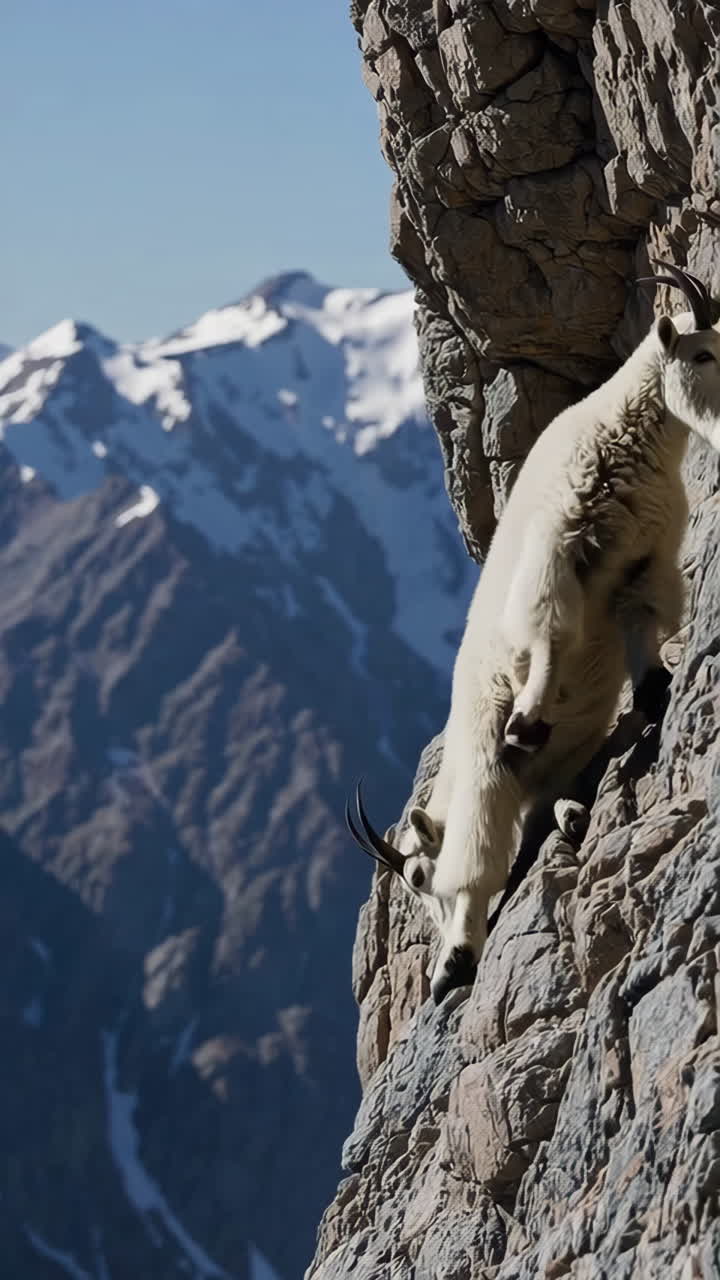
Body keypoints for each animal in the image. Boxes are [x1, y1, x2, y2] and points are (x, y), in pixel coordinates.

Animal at [348, 263, 720, 1005]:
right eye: (701, 354)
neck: (621, 426)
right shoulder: (558, 552)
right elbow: (552, 632)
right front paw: (531, 718)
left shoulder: (642, 558)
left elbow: (638, 624)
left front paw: (657, 685)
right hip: (485, 772)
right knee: (478, 863)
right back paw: (454, 963)